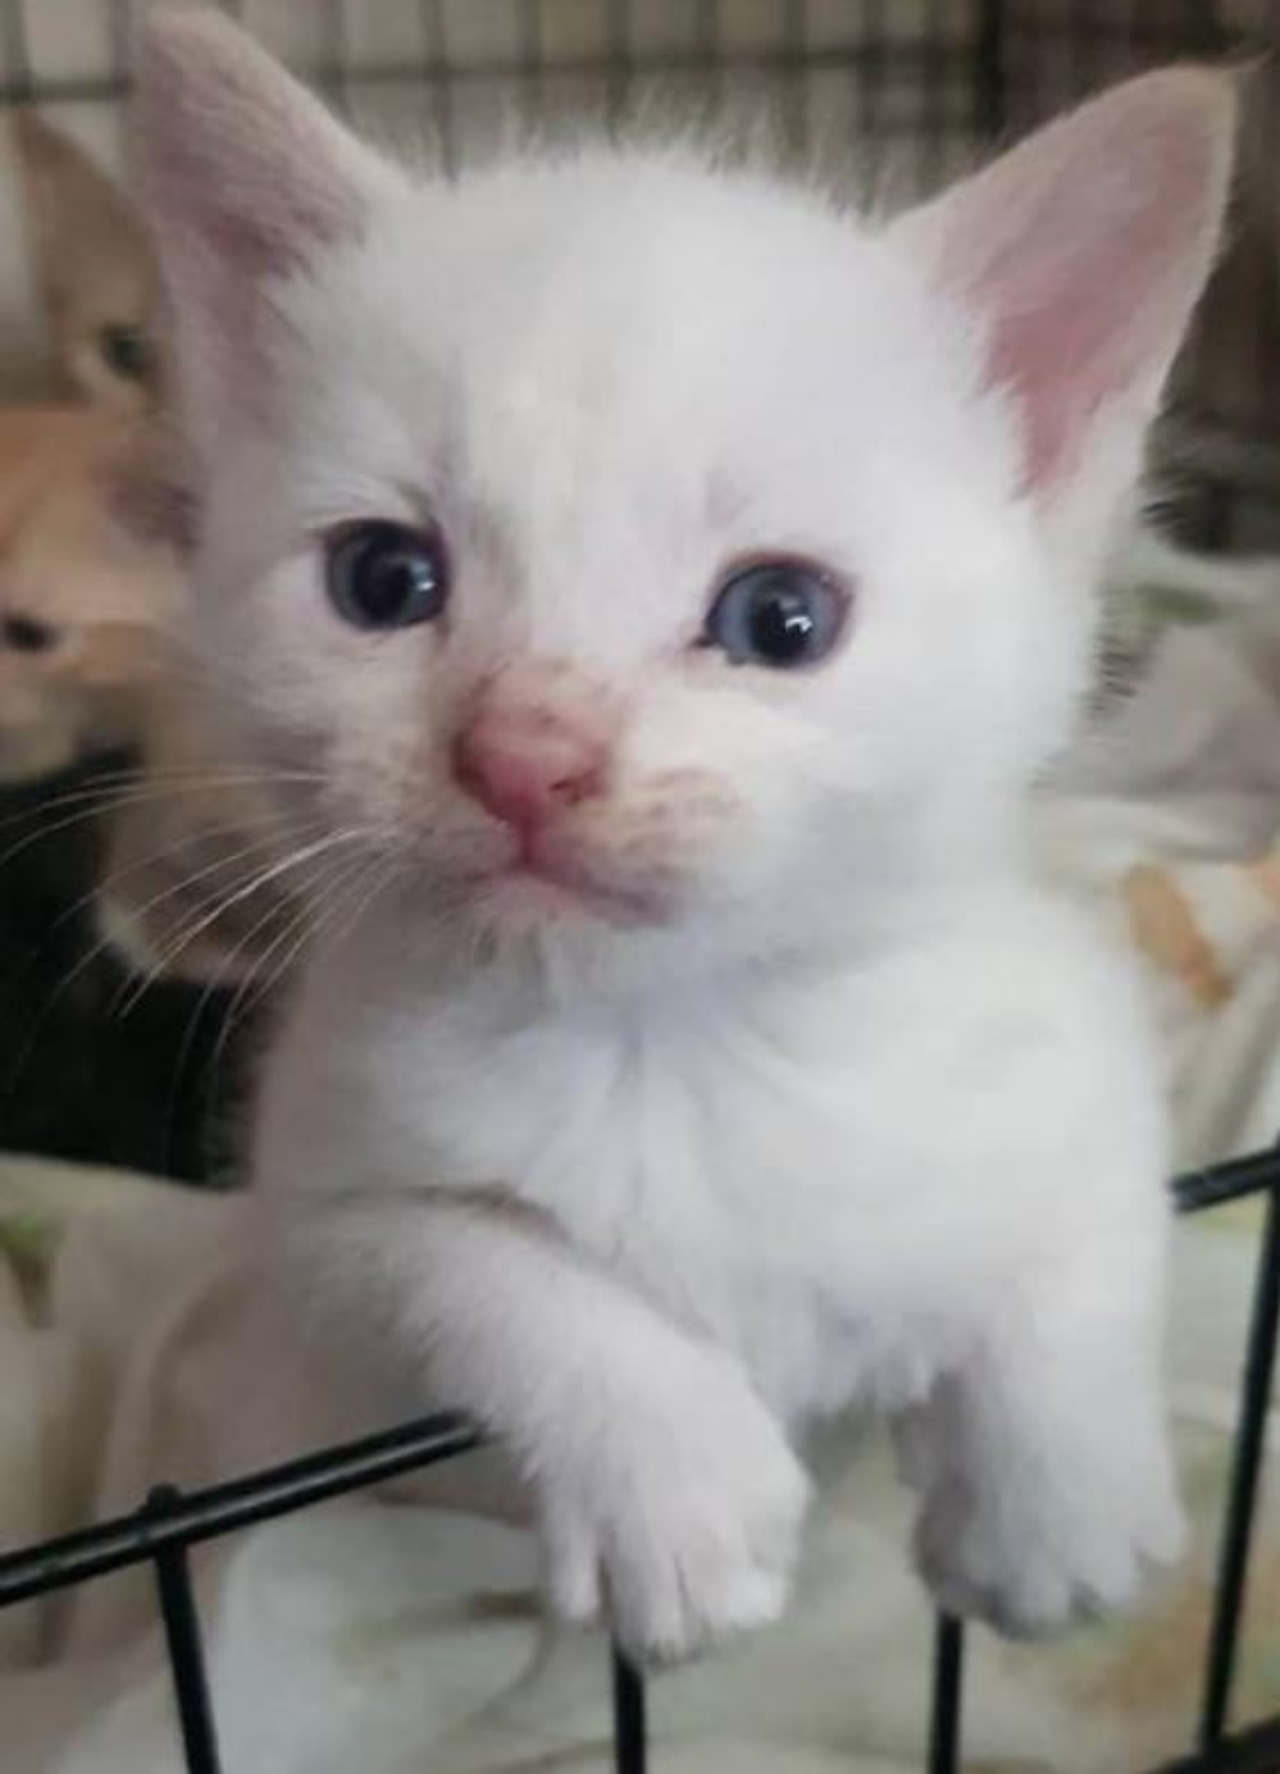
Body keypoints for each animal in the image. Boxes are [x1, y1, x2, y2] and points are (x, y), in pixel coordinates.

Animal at [137, 17, 1226, 1660]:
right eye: (384, 578)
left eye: (780, 616)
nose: (525, 752)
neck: (677, 1045)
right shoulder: (311, 1214)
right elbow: (460, 1254)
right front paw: (676, 1489)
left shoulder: (1069, 1030)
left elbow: (1095, 1216)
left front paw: (1059, 1509)